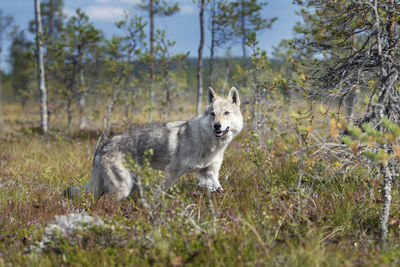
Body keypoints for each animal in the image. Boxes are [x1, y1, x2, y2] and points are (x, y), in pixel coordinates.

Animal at [67, 88, 242, 201]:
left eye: (226, 113)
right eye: (213, 114)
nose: (217, 126)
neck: (206, 141)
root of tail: (101, 146)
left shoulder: (209, 174)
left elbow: (220, 190)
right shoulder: (171, 172)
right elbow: (159, 194)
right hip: (123, 188)